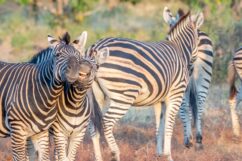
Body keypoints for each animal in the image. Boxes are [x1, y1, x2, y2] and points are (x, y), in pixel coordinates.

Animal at [0, 32, 85, 160]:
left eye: (78, 56)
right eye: (58, 55)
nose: (75, 71)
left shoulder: (41, 132)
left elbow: (44, 157)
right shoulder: (17, 131)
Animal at [27, 32, 109, 160]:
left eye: (97, 66)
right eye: (80, 60)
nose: (82, 74)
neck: (76, 104)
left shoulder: (77, 134)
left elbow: (68, 157)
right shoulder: (59, 132)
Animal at [87, 10, 204, 160]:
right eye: (199, 39)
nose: (191, 69)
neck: (179, 49)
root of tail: (96, 47)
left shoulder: (159, 100)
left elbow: (159, 124)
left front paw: (159, 154)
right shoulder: (175, 95)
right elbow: (169, 125)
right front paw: (168, 155)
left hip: (97, 96)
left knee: (93, 126)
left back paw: (99, 157)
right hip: (124, 95)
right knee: (106, 122)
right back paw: (115, 153)